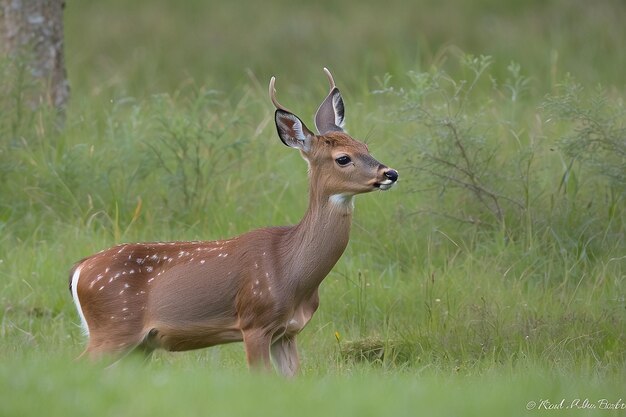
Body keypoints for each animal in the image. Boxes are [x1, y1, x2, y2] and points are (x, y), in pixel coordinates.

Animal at [68, 67, 398, 374]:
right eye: (343, 158)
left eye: (365, 147)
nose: (390, 173)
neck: (292, 270)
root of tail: (78, 269)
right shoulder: (255, 322)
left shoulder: (287, 332)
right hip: (114, 327)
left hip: (139, 345)